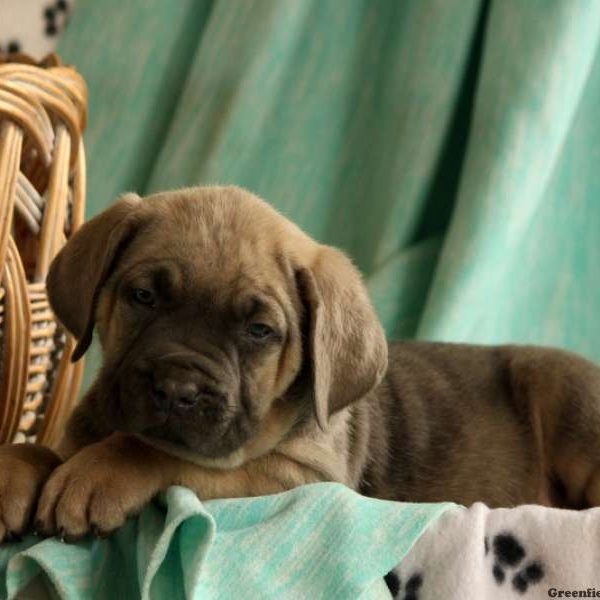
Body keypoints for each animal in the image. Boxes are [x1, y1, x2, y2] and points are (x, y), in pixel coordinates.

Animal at [1, 185, 600, 540]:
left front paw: (98, 473)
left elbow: (163, 451)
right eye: (143, 297)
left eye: (259, 331)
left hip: (565, 396)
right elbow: (37, 448)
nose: (175, 389)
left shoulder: (301, 477)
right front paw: (16, 470)